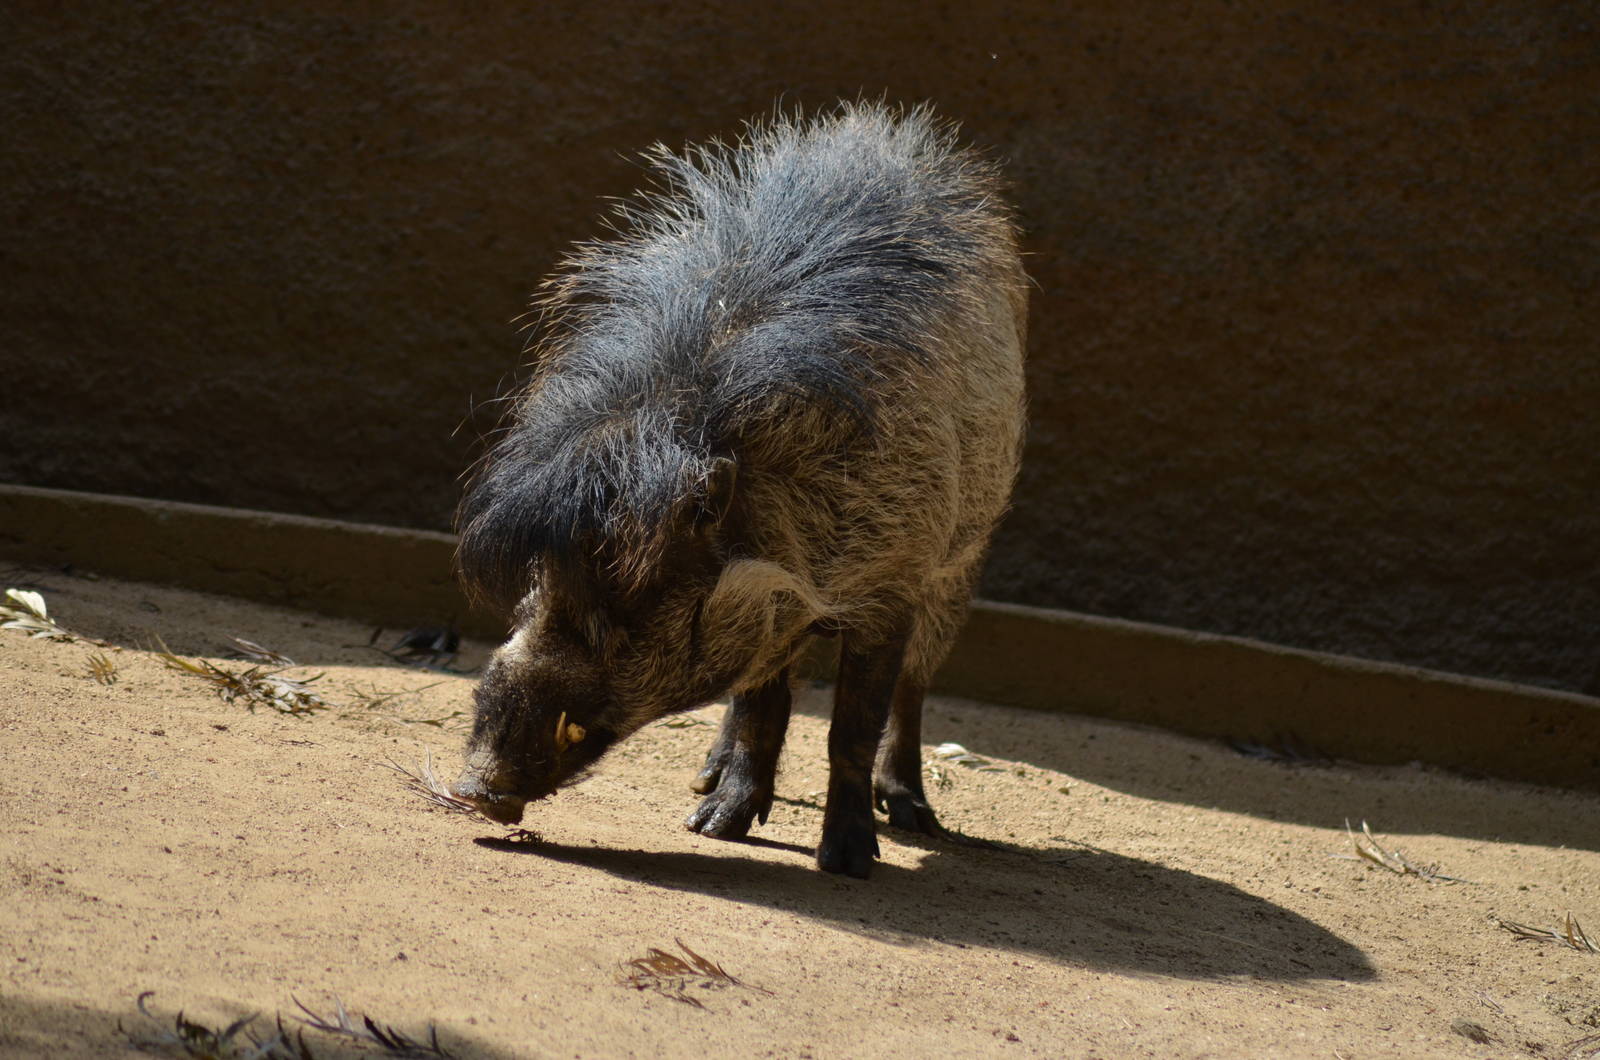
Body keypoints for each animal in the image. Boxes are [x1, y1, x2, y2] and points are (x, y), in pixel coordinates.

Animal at [450, 102, 1027, 878]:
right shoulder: (768, 595)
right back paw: (707, 781)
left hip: (961, 566)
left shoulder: (891, 586)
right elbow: (760, 707)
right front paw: (714, 828)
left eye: (632, 598)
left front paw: (850, 863)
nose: (474, 791)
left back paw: (913, 815)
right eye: (542, 578)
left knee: (915, 687)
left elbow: (853, 726)